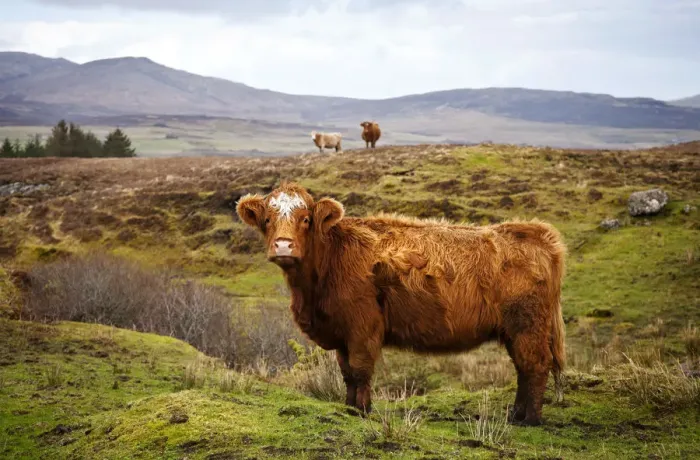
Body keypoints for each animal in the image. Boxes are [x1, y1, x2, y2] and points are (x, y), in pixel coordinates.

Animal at [236, 182, 566, 426]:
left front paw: (363, 410)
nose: (283, 246)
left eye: (305, 219)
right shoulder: (342, 333)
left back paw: (530, 419)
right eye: (267, 220)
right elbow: (346, 373)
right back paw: (516, 414)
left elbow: (360, 369)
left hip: (528, 326)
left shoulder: (363, 326)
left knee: (535, 366)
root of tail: (536, 233)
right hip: (516, 331)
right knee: (523, 369)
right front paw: (349, 407)